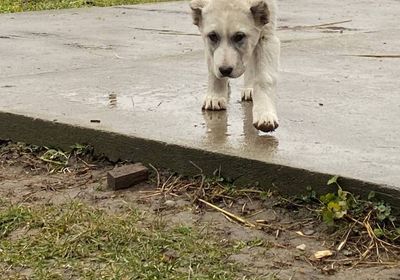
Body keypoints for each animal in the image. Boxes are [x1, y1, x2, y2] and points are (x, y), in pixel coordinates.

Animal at [190, 0, 278, 132]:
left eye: (239, 36)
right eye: (213, 36)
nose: (225, 70)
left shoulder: (267, 33)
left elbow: (264, 78)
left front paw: (265, 115)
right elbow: (213, 66)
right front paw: (215, 97)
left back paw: (249, 89)